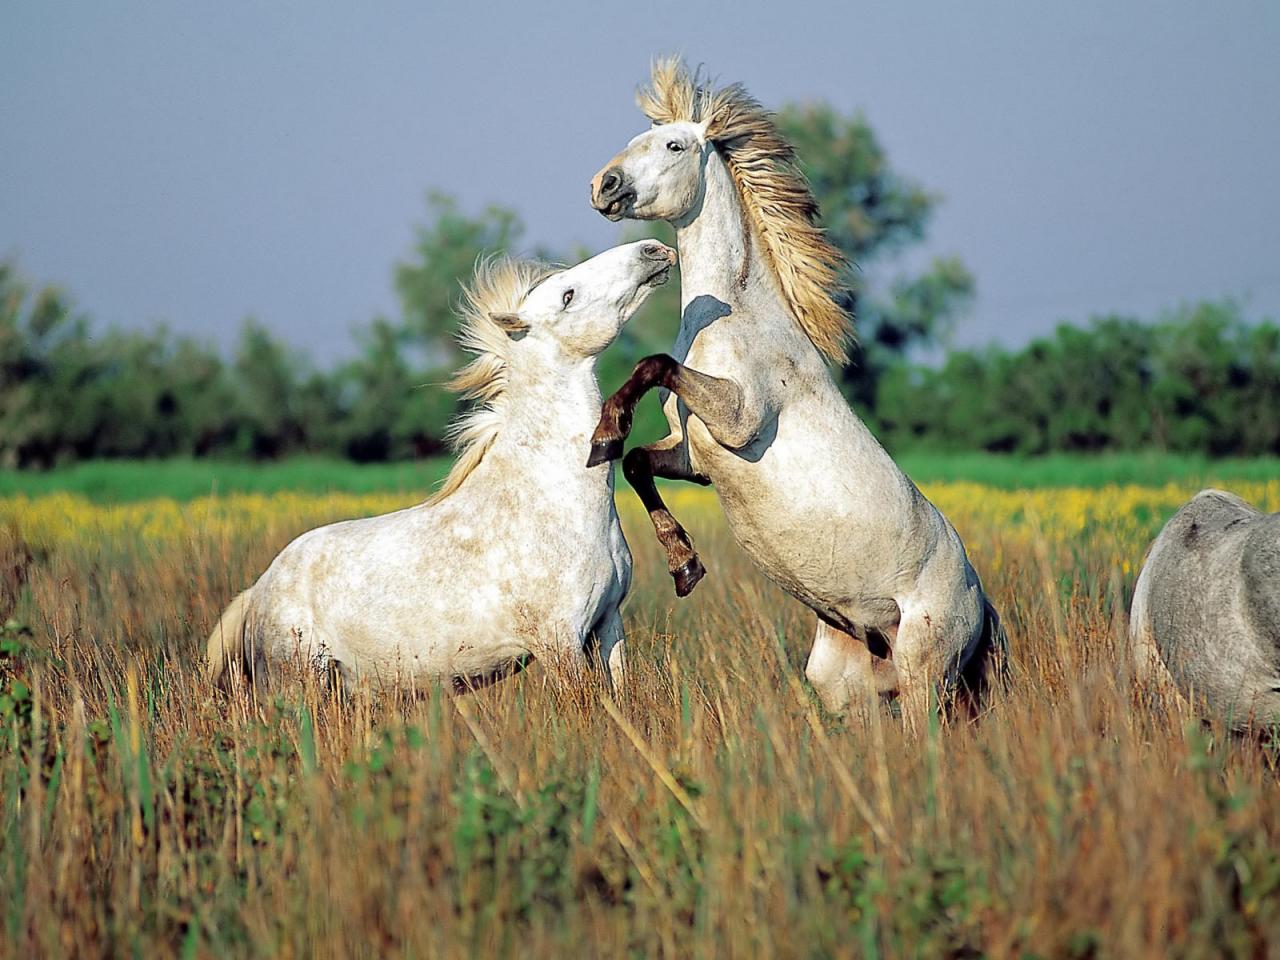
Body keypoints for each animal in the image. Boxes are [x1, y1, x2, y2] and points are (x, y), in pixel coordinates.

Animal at [207, 240, 680, 691]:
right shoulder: (558, 641)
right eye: (568, 296)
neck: (553, 500)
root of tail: (257, 591)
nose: (654, 250)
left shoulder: (609, 623)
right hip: (298, 684)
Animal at [586, 60, 1003, 716]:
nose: (604, 186)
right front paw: (684, 568)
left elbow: (653, 365)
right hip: (846, 684)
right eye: (636, 141)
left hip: (925, 675)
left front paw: (604, 431)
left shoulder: (739, 419)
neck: (738, 319)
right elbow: (634, 463)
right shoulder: (696, 456)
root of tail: (980, 603)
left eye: (675, 145)